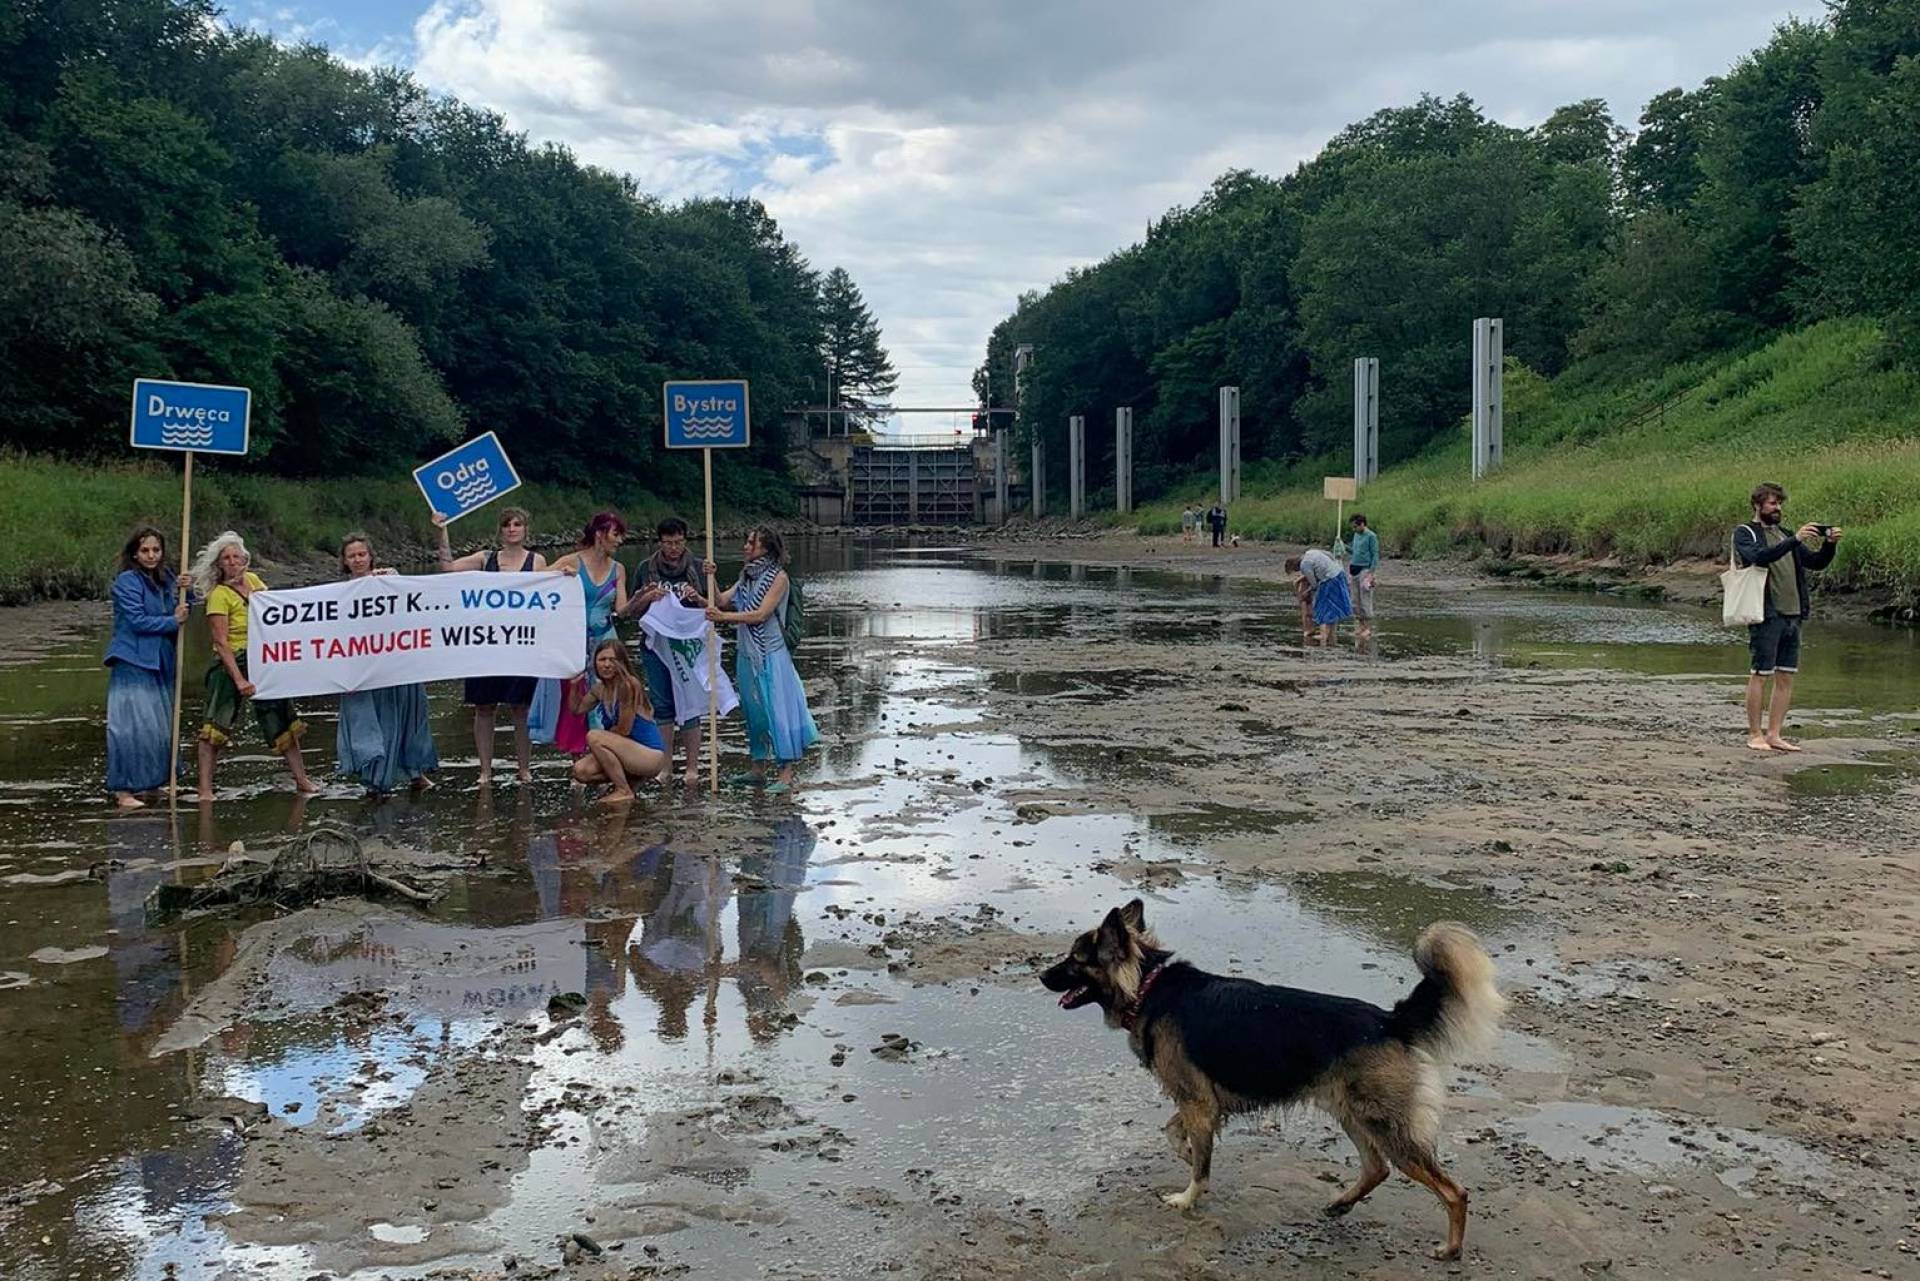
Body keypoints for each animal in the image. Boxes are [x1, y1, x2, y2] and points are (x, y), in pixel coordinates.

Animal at [1044, 902, 1505, 1259]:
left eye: (1075, 959)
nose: (1041, 977)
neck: (1147, 985)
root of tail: (1389, 1020)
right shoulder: (1200, 1103)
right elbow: (1176, 1134)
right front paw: (1188, 1154)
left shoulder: (1198, 1102)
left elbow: (1198, 1163)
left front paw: (1188, 1197)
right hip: (1352, 1113)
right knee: (1376, 1168)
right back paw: (1340, 1205)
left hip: (1387, 1125)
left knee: (1453, 1191)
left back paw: (1451, 1249)